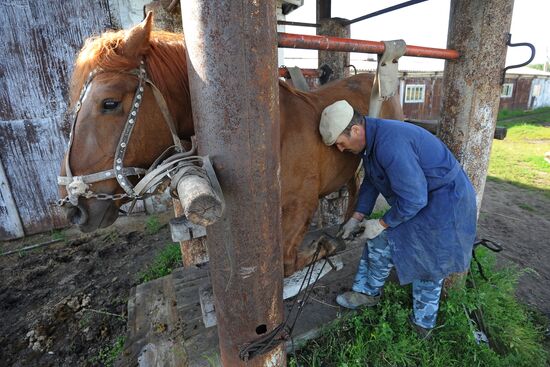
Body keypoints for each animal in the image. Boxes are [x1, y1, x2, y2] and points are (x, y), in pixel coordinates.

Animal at [59, 14, 406, 278]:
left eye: (109, 103)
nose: (74, 208)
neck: (273, 138)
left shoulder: (300, 207)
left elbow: (286, 262)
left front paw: (327, 245)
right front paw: (330, 242)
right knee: (355, 185)